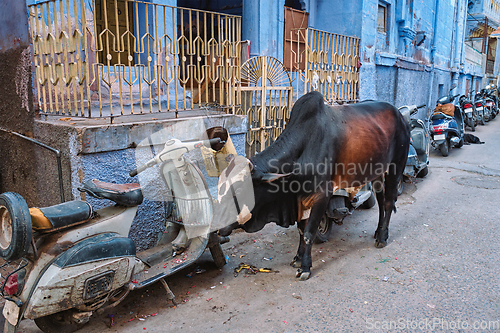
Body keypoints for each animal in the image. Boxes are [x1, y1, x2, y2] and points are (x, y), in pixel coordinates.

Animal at [215, 91, 410, 280]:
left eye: (240, 189)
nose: (217, 227)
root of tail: (400, 115)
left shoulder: (322, 196)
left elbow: (309, 232)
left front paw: (305, 267)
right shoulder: (300, 199)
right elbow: (302, 231)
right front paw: (298, 258)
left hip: (395, 167)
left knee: (388, 202)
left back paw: (382, 237)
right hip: (377, 172)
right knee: (381, 201)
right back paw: (378, 231)